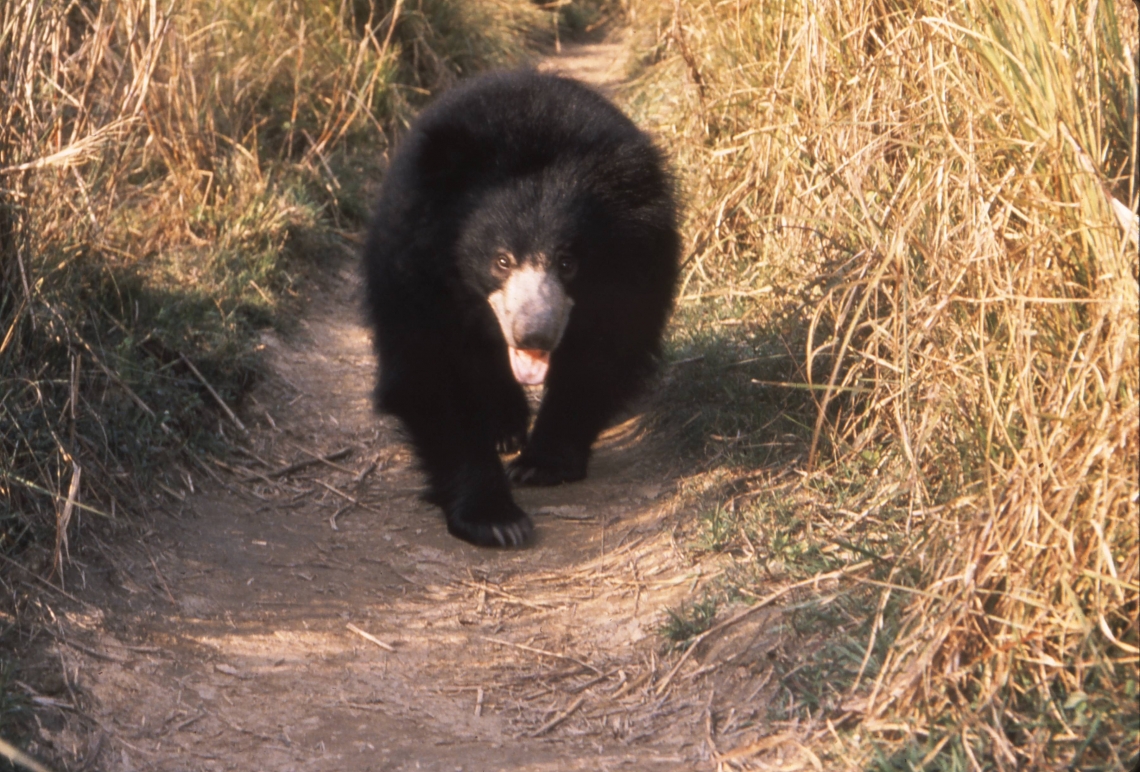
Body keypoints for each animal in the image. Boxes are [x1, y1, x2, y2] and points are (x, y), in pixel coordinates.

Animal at [367, 67, 674, 547]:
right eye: (501, 260)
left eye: (567, 262)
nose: (534, 334)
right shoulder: (412, 270)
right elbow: (429, 370)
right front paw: (495, 519)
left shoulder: (636, 269)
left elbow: (602, 355)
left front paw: (541, 464)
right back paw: (503, 428)